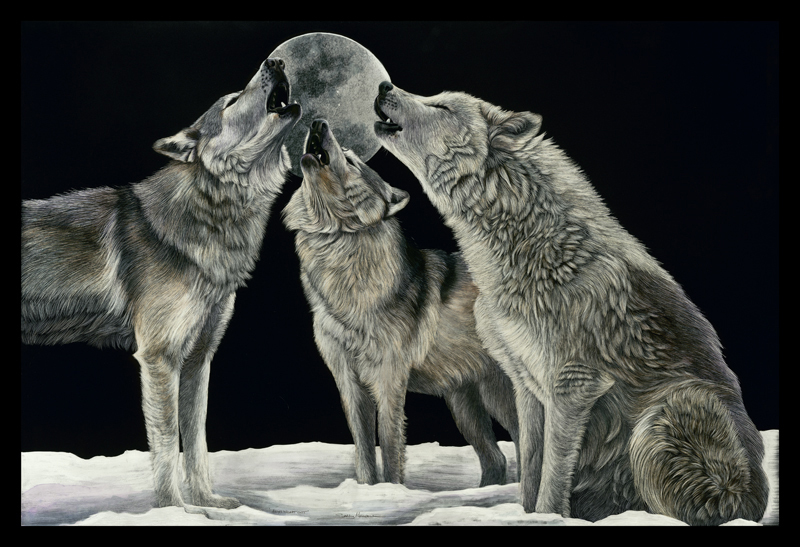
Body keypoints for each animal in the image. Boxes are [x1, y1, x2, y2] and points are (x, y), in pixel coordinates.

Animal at [21, 58, 301, 508]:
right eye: (231, 101)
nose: (275, 61)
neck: (210, 214)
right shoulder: (158, 358)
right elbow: (169, 443)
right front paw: (174, 508)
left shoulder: (197, 360)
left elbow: (198, 441)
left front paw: (207, 503)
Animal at [282, 119, 519, 486]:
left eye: (351, 160)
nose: (319, 122)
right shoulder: (349, 383)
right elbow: (364, 451)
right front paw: (367, 490)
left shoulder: (389, 380)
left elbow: (391, 447)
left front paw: (392, 490)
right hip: (463, 404)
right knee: (496, 459)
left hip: (501, 397)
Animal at [373, 82, 769, 525]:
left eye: (441, 106)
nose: (384, 85)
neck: (536, 249)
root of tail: (754, 497)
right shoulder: (526, 383)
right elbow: (531, 464)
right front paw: (525, 514)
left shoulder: (574, 385)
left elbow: (553, 471)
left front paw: (550, 516)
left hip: (666, 413)